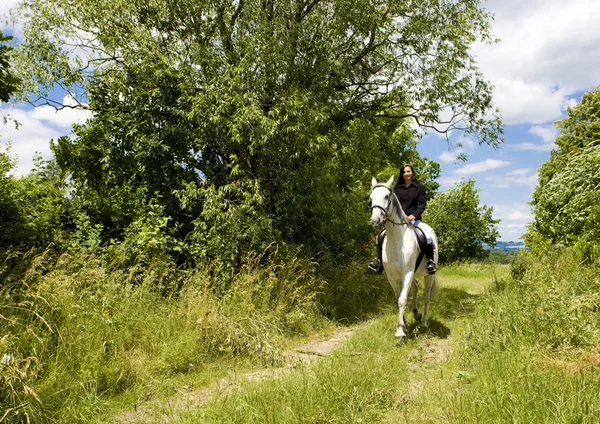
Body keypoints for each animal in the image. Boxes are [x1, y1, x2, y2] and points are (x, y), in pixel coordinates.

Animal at [368, 177, 438, 340]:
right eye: (371, 197)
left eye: (387, 196)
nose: (375, 220)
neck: (397, 240)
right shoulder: (392, 276)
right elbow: (397, 298)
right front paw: (404, 324)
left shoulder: (407, 273)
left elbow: (402, 300)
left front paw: (400, 331)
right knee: (415, 288)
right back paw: (416, 314)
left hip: (428, 274)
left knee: (426, 295)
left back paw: (424, 322)